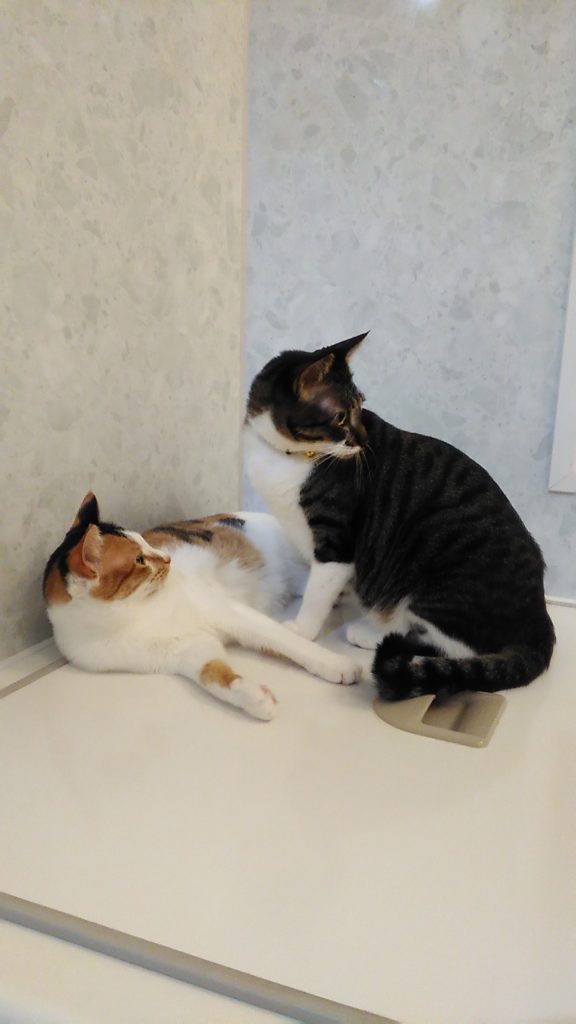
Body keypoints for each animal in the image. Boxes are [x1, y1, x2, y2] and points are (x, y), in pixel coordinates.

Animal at [43, 493, 360, 721]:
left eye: (146, 541)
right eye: (139, 560)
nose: (167, 559)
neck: (133, 616)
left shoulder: (229, 612)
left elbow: (288, 642)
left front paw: (337, 664)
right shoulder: (188, 651)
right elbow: (215, 676)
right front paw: (257, 699)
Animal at [244, 333, 555, 701]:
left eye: (359, 409)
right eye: (340, 417)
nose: (364, 440)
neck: (289, 458)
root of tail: (538, 618)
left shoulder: (337, 540)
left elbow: (319, 589)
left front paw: (301, 629)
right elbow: (326, 586)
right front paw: (335, 602)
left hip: (440, 578)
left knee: (452, 647)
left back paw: (372, 632)